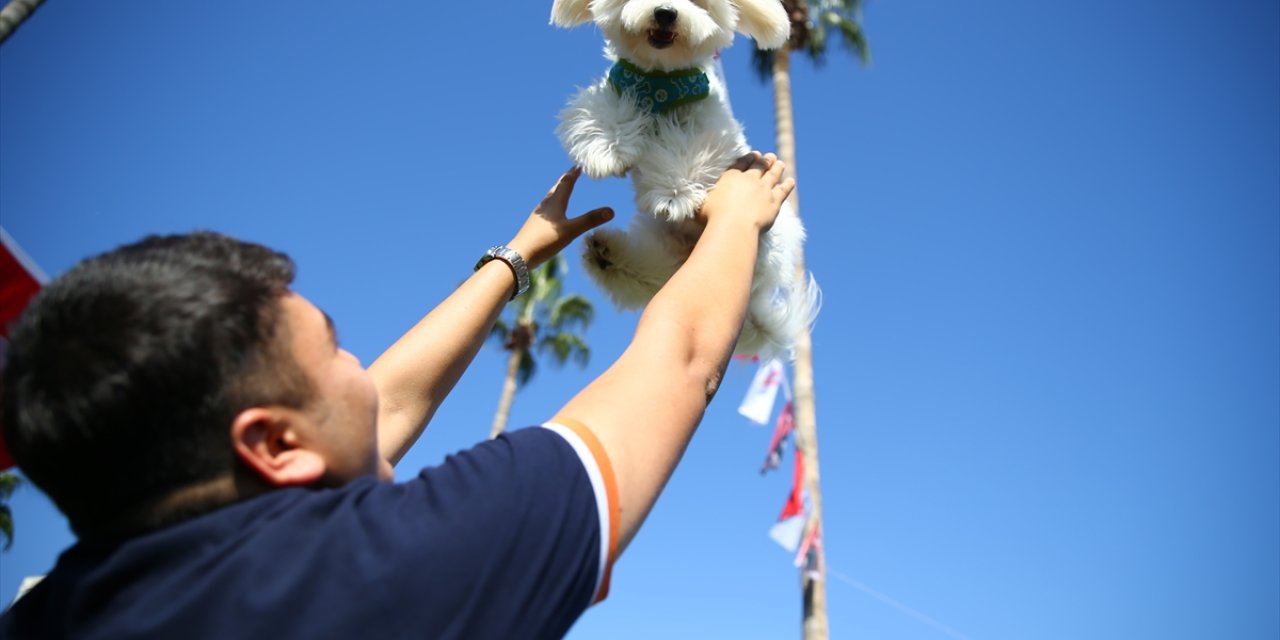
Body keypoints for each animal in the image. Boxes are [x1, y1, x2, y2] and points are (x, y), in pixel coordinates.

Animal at [552, 0, 819, 358]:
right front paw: (607, 149)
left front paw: (674, 193)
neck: (659, 83)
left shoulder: (704, 123)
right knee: (657, 271)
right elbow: (604, 111)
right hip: (664, 244)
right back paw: (608, 256)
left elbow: (684, 149)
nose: (665, 13)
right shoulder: (616, 89)